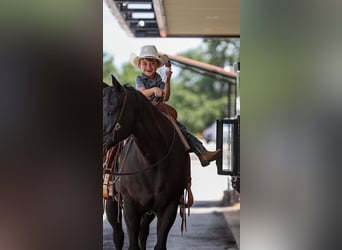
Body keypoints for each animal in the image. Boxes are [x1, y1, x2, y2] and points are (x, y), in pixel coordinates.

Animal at [103, 75, 191, 250]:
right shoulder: (131, 206)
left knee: (143, 233)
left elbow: (158, 244)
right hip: (111, 201)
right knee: (118, 235)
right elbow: (132, 244)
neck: (153, 160)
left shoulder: (169, 207)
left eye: (110, 111)